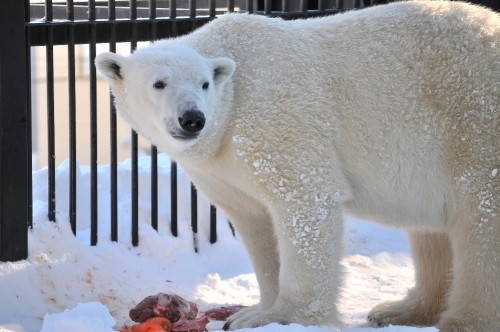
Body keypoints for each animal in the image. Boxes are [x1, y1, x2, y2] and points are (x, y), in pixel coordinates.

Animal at [95, 1, 498, 330]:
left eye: (204, 83)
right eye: (159, 83)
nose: (193, 119)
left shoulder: (275, 117)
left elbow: (304, 201)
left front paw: (286, 316)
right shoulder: (219, 166)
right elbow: (254, 221)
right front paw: (251, 313)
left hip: (474, 120)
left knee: (481, 216)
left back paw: (463, 320)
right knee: (433, 232)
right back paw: (402, 310)